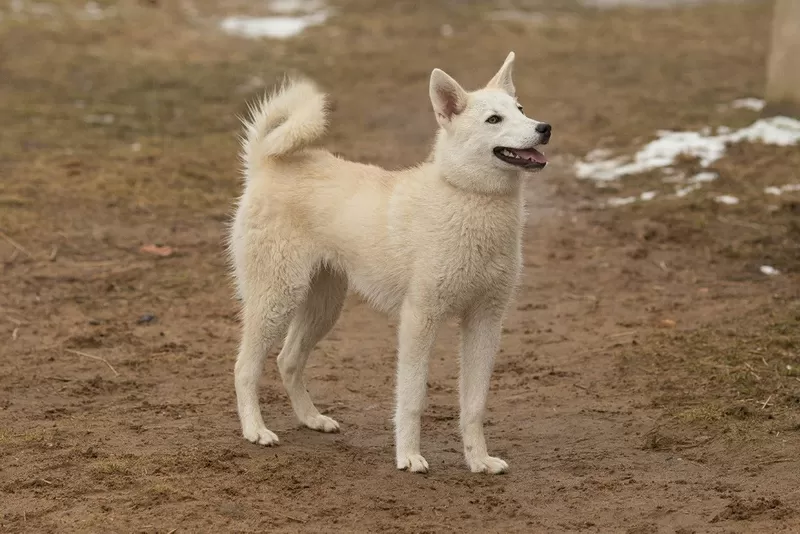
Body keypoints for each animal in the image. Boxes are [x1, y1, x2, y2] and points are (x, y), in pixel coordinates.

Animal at [225, 52, 552, 476]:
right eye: (494, 119)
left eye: (521, 110)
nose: (545, 128)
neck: (468, 197)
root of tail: (265, 162)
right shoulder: (419, 319)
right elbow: (412, 398)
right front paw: (408, 457)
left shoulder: (486, 321)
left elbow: (474, 404)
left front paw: (478, 460)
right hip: (276, 300)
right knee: (245, 368)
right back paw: (256, 430)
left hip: (323, 307)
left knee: (287, 360)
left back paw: (312, 419)